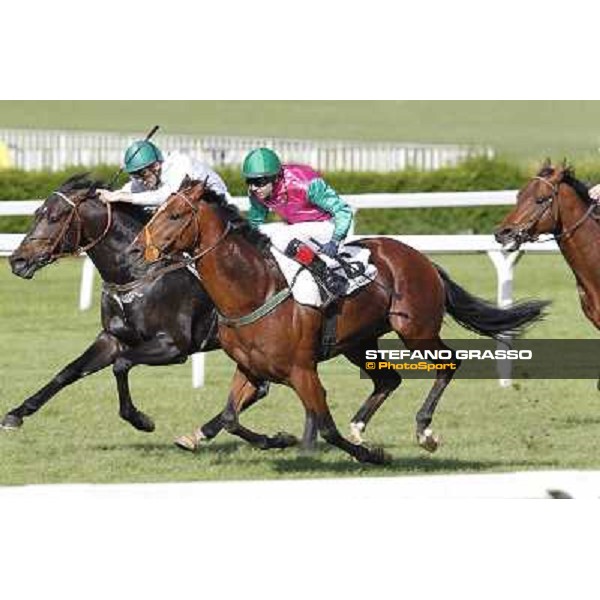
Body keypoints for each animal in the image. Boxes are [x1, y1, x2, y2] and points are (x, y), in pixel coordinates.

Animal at [1, 171, 274, 442]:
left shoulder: (173, 346)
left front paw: (141, 420)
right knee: (258, 389)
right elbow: (69, 371)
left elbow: (121, 364)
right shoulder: (112, 338)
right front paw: (16, 414)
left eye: (55, 217)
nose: (18, 260)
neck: (136, 271)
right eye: (38, 212)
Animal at [135, 179, 548, 464]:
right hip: (359, 342)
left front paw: (372, 455)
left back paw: (424, 431)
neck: (254, 289)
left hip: (415, 329)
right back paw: (361, 427)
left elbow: (326, 427)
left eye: (174, 215)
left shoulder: (303, 371)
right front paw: (278, 439)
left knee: (448, 364)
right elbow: (230, 417)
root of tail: (421, 257)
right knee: (388, 379)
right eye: (156, 211)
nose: (139, 249)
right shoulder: (251, 368)